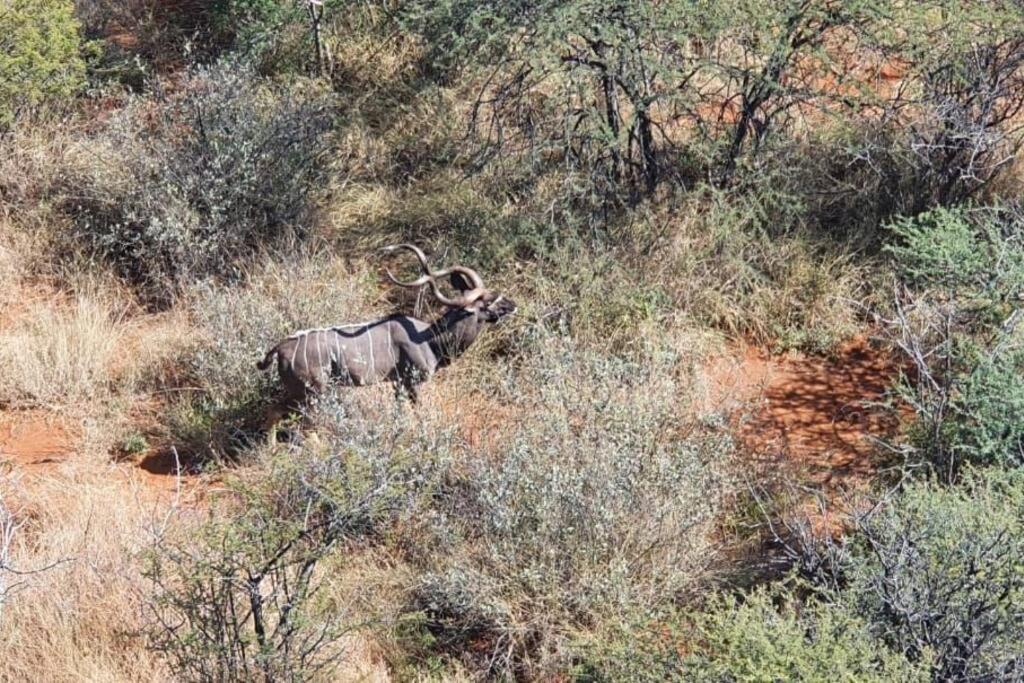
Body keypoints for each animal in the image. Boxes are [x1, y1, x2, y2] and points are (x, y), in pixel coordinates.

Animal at [256, 246, 512, 432]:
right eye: (488, 302)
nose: (512, 304)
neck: (430, 339)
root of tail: (280, 348)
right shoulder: (414, 381)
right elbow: (418, 412)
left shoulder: (397, 383)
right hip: (313, 391)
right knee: (308, 423)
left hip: (298, 391)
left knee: (273, 412)